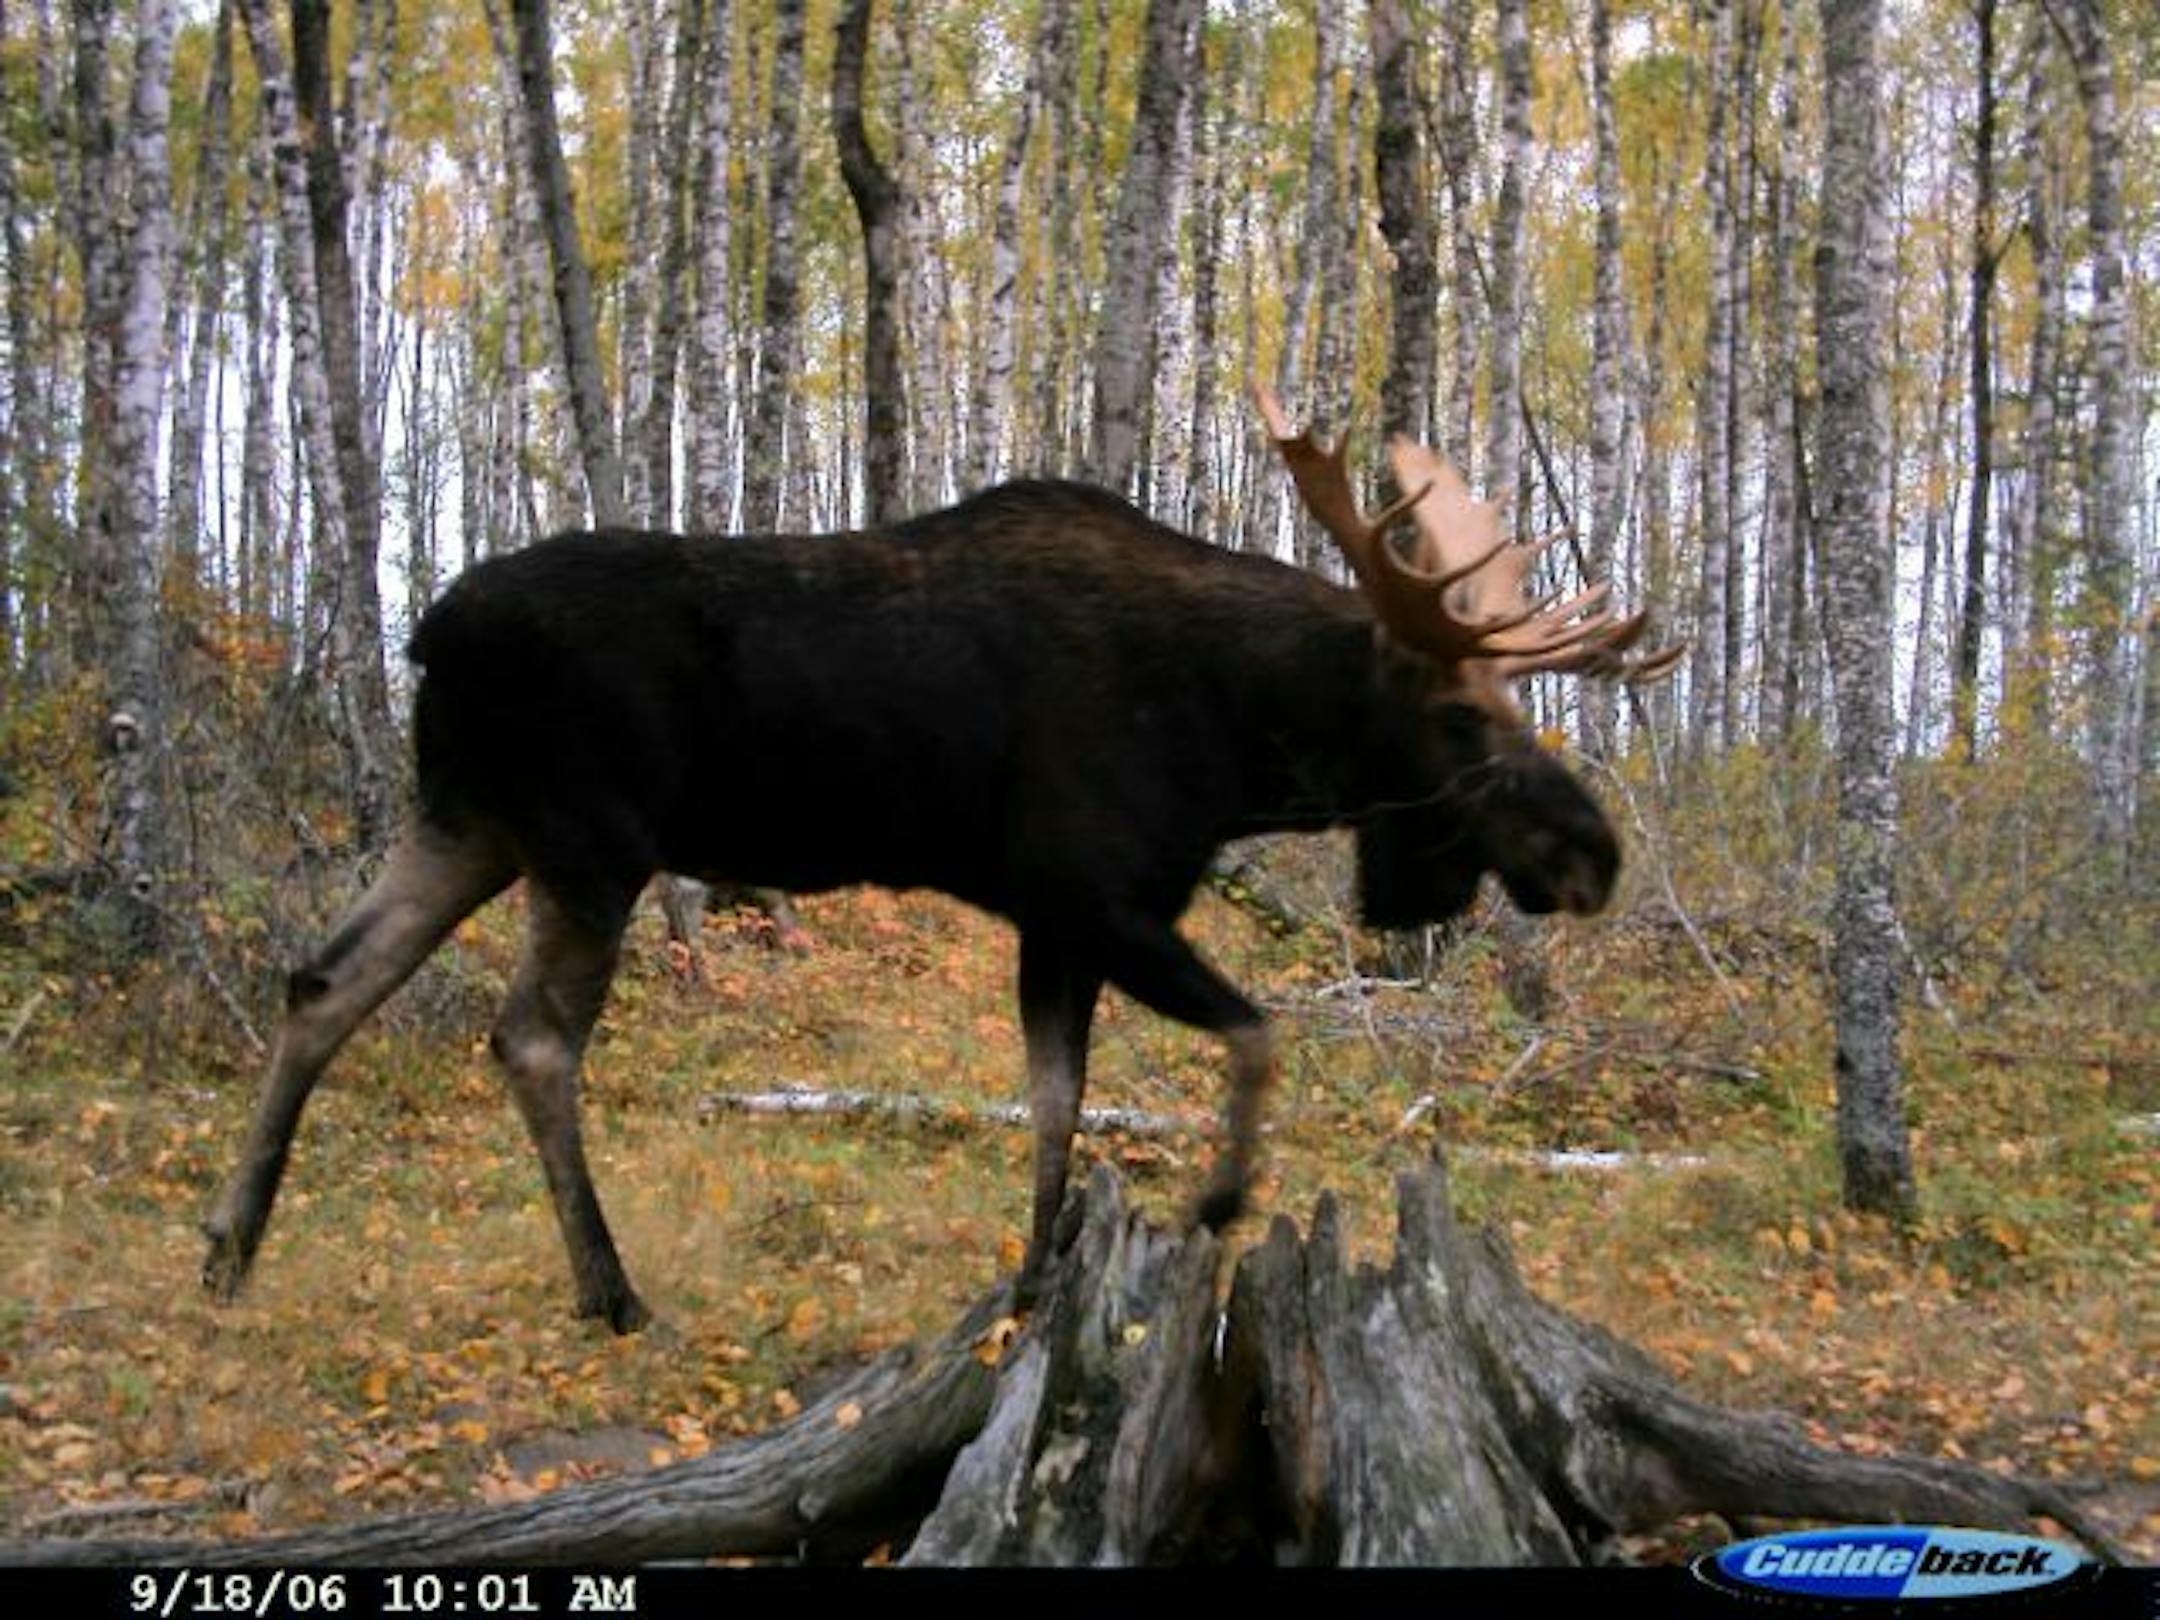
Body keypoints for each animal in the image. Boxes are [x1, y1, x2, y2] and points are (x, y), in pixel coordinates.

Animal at [201, 388, 1678, 1333]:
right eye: (1462, 716)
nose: (1593, 852)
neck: (1244, 746)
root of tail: (427, 633)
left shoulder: (1056, 921)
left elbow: (1056, 1103)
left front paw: (1035, 1280)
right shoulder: (1095, 891)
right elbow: (1256, 1038)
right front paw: (1214, 1198)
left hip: (471, 824)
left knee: (323, 982)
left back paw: (230, 1248)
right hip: (586, 842)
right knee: (529, 1040)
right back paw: (609, 1291)